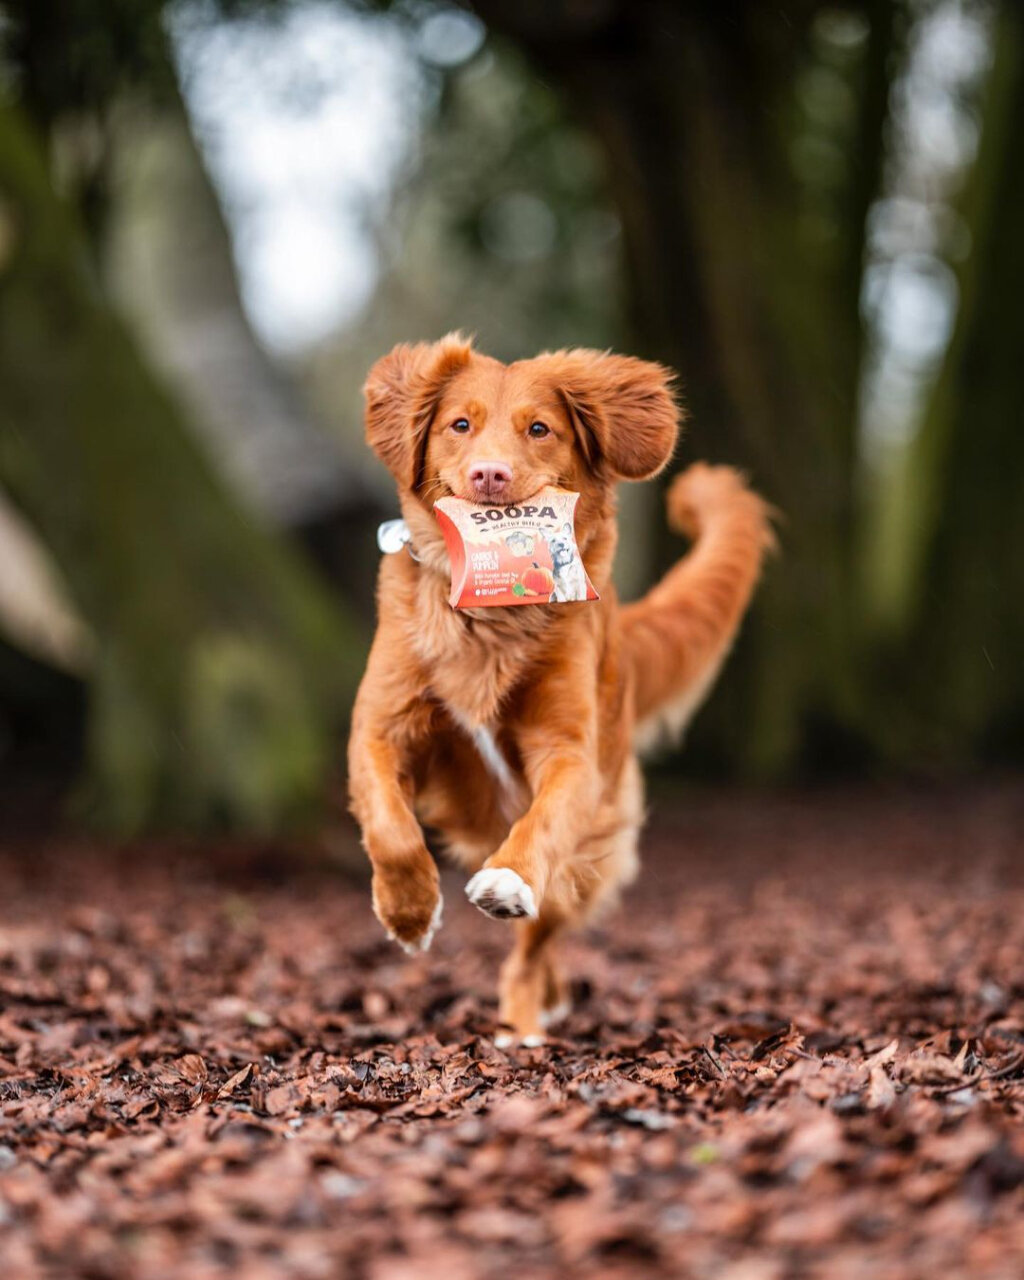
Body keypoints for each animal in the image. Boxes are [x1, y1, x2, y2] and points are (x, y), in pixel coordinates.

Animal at [348, 335, 773, 1044]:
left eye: (540, 429)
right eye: (458, 425)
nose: (490, 475)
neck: (492, 619)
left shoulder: (571, 755)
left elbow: (543, 823)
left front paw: (507, 879)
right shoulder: (381, 727)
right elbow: (390, 827)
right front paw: (408, 911)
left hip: (594, 841)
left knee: (535, 945)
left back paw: (525, 1023)